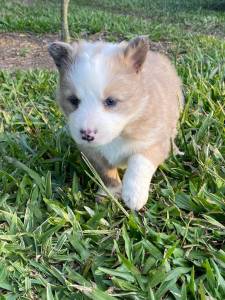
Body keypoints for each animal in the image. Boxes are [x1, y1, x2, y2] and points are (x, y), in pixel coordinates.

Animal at [48, 37, 183, 211]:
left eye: (111, 101)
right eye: (74, 100)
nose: (87, 134)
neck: (119, 134)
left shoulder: (153, 141)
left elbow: (139, 163)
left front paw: (134, 195)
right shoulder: (92, 152)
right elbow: (106, 173)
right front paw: (110, 193)